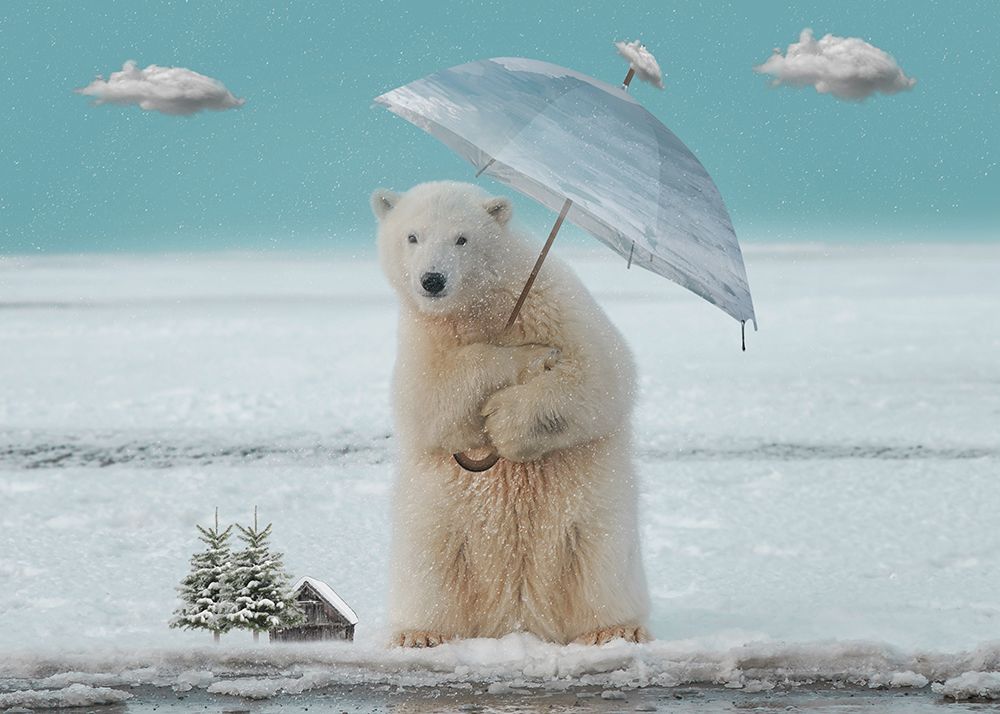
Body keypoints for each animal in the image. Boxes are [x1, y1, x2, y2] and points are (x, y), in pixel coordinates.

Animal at [371, 181, 649, 647]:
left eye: (462, 239)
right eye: (412, 236)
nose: (433, 280)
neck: (482, 306)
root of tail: (517, 617)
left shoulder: (552, 301)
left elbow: (600, 373)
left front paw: (509, 421)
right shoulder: (423, 337)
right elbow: (429, 400)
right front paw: (524, 358)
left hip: (594, 512)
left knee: (599, 556)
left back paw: (613, 629)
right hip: (437, 519)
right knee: (431, 560)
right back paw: (420, 633)